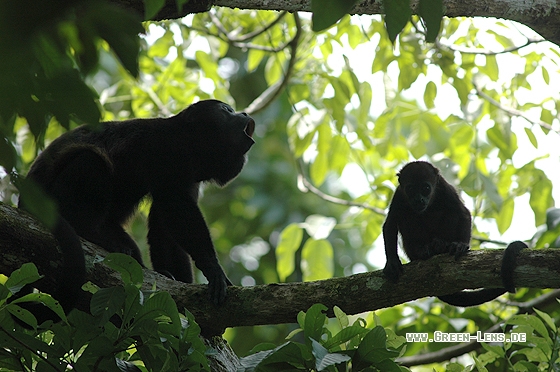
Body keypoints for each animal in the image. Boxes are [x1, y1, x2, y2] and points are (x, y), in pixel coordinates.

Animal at [17, 99, 254, 322]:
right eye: (226, 110)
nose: (243, 113)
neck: (189, 145)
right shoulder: (166, 151)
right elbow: (177, 210)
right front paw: (213, 268)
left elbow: (164, 227)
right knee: (90, 161)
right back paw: (90, 231)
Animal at [382, 161, 528, 306]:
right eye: (410, 189)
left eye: (426, 188)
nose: (418, 200)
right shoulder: (399, 195)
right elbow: (390, 225)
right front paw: (392, 263)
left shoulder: (446, 189)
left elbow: (463, 213)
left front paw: (460, 245)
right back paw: (421, 250)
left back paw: (441, 245)